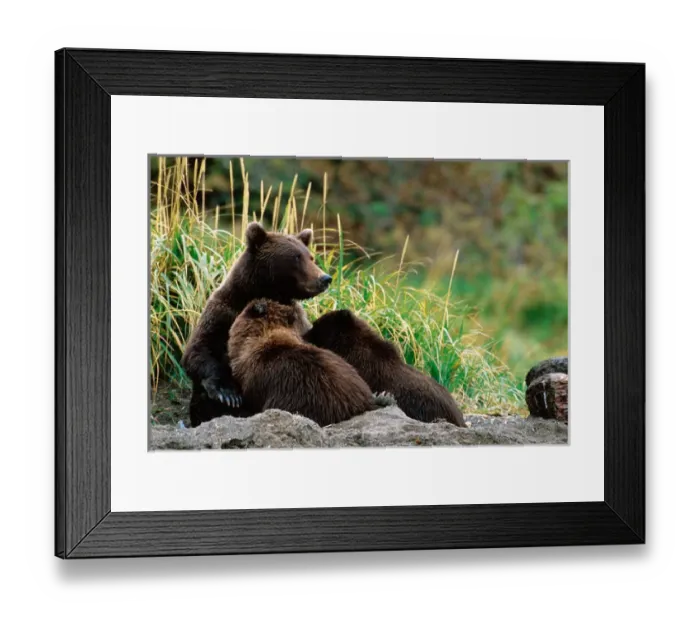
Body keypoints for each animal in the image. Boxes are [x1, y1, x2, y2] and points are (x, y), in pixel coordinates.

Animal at [181, 222, 332, 427]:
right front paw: (227, 395)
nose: (324, 278)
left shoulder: (299, 320)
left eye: (311, 257)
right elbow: (199, 351)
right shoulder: (223, 312)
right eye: (296, 257)